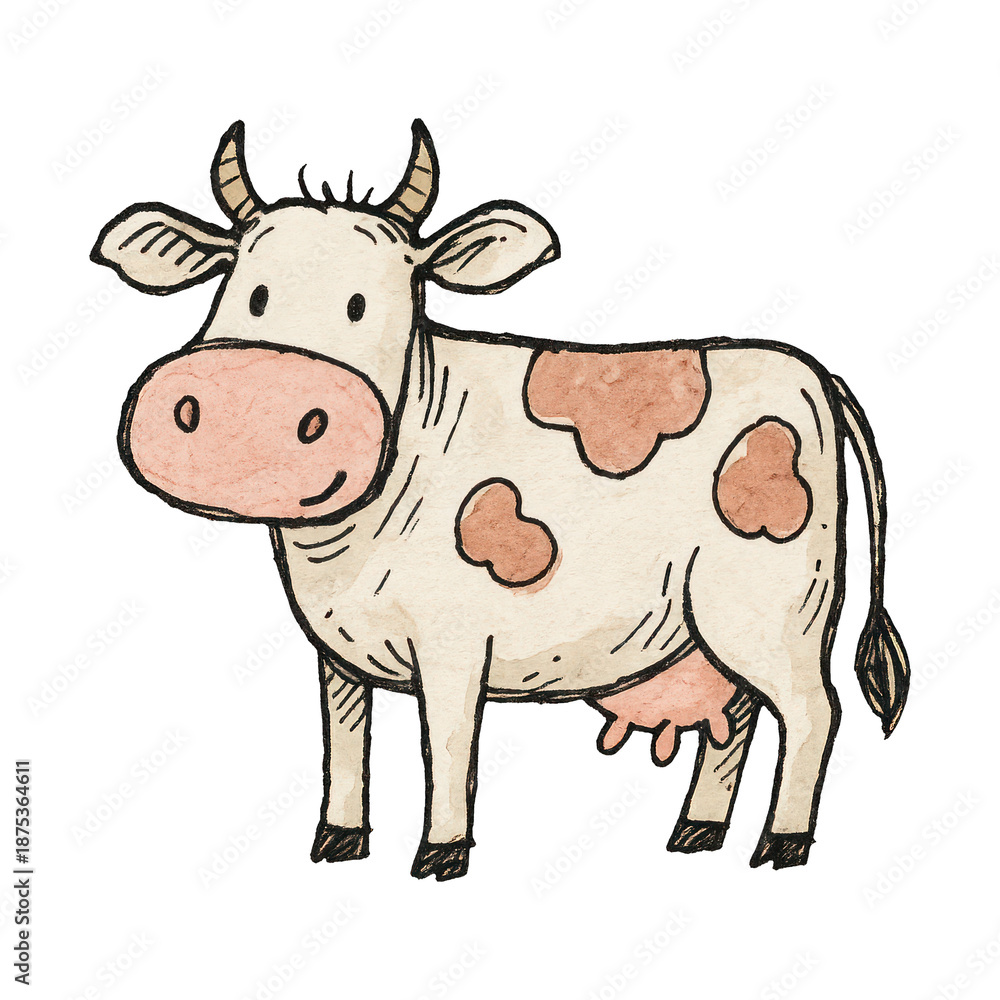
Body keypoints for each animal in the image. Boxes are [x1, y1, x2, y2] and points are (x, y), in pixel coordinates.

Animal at [92, 120, 910, 880]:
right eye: (246, 289)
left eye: (367, 302)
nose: (256, 395)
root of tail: (813, 373)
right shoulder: (334, 649)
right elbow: (345, 737)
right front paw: (337, 843)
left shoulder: (455, 637)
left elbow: (448, 742)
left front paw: (440, 857)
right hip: (721, 621)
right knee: (738, 714)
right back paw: (695, 834)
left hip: (778, 602)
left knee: (813, 710)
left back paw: (781, 848)